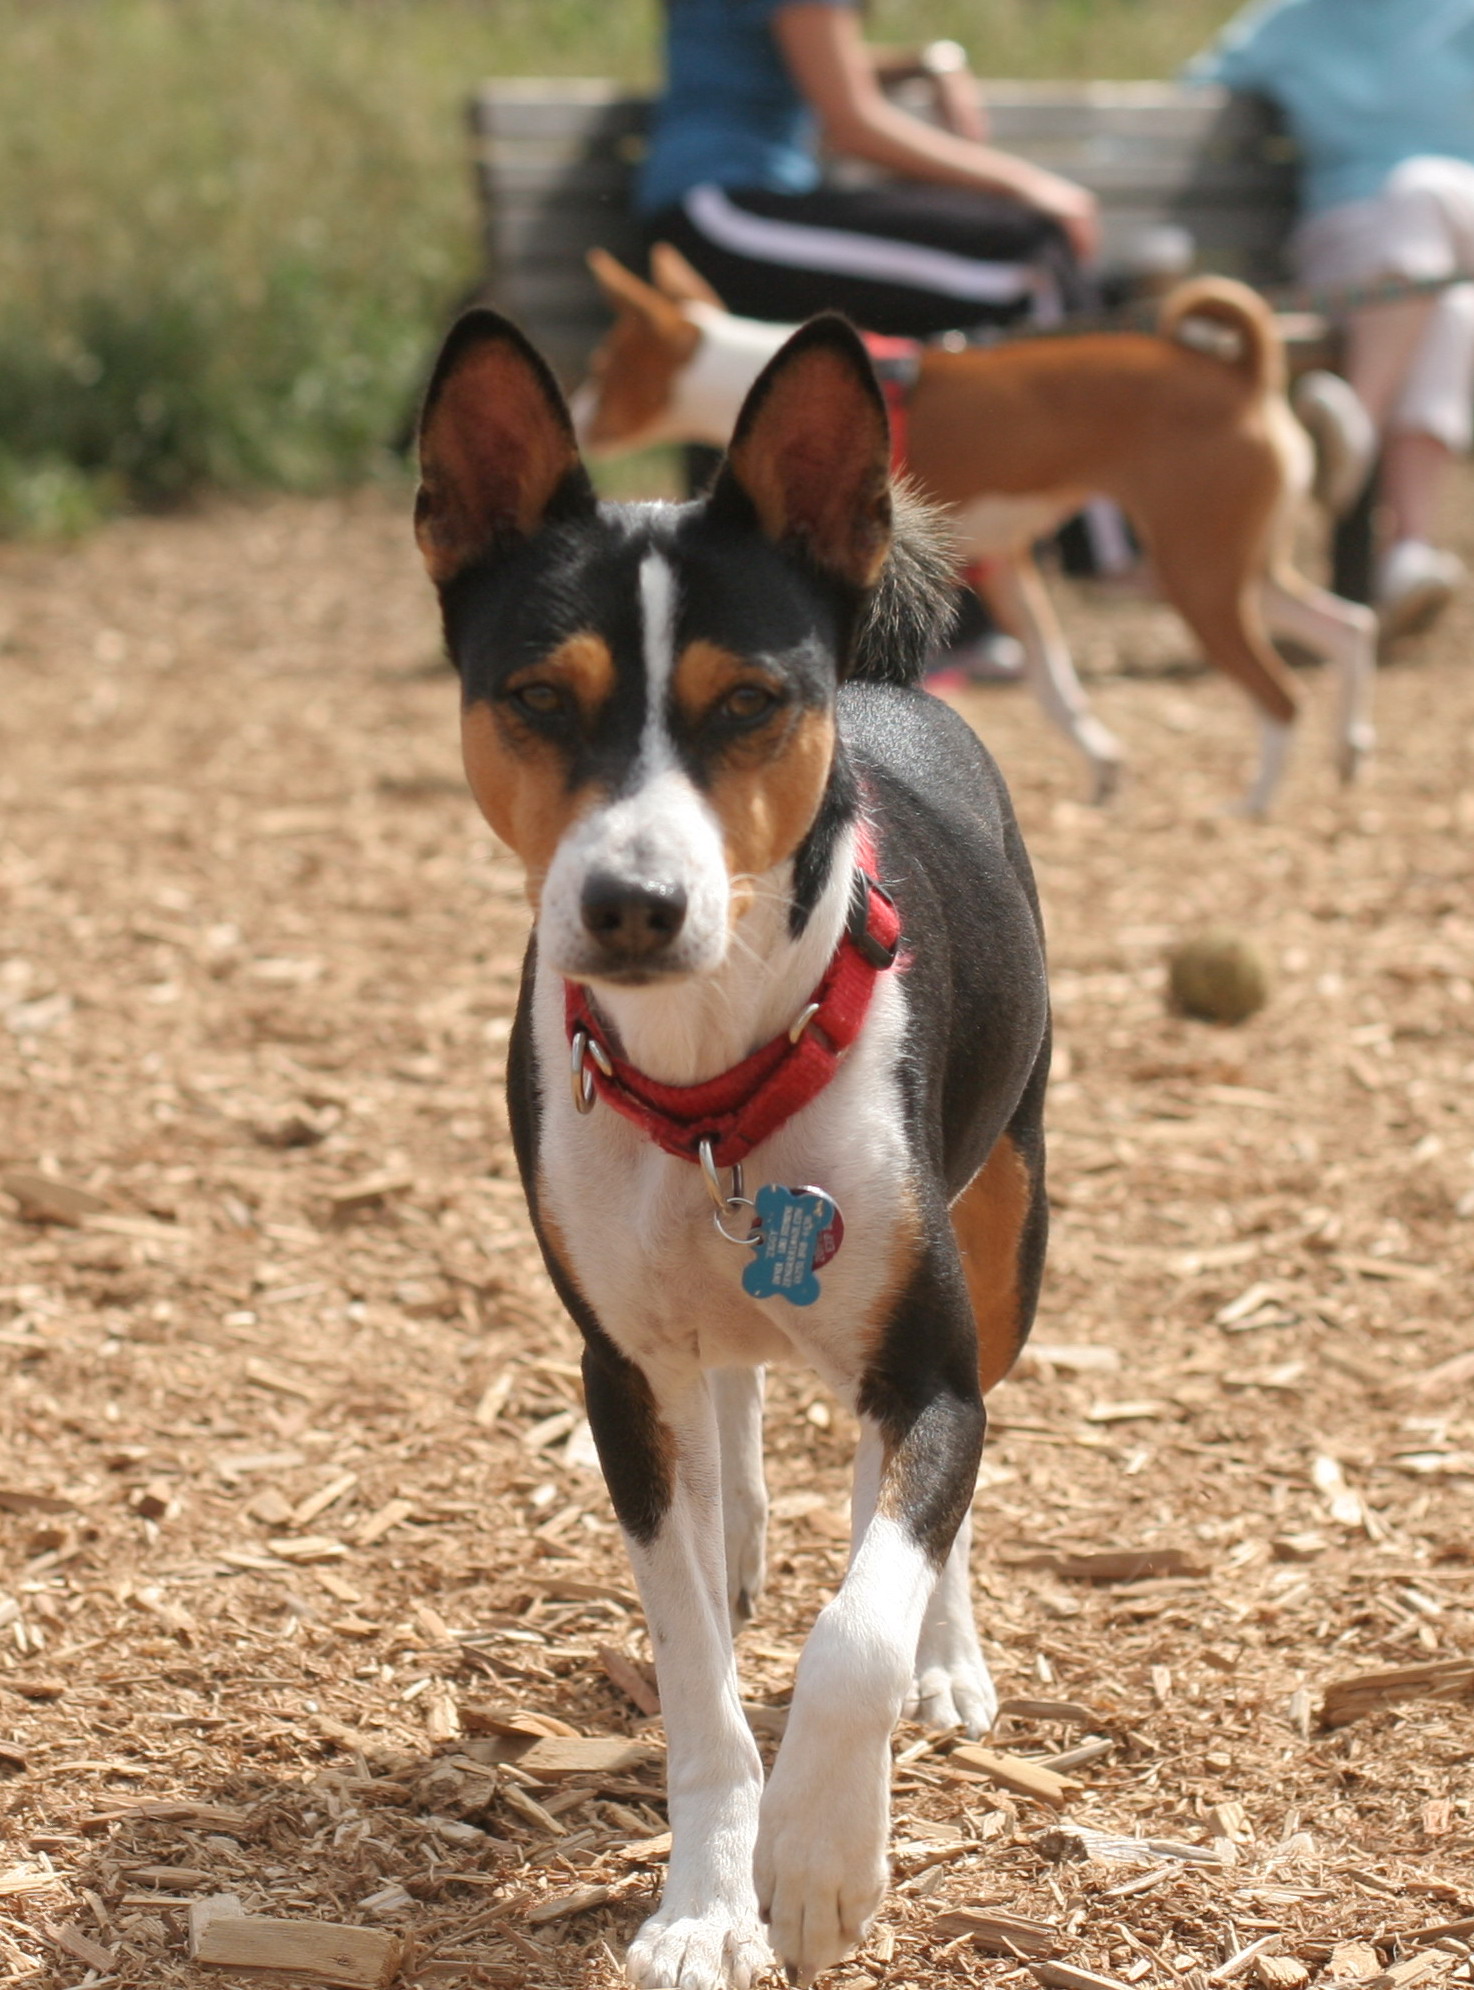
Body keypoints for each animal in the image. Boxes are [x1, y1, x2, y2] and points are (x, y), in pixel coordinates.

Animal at [415, 308, 1051, 1989]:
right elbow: (695, 1664)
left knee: (912, 1495)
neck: (709, 1084)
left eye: (748, 702)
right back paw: (754, 1514)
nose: (633, 902)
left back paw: (941, 1656)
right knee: (740, 1401)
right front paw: (707, 1896)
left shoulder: (930, 1361)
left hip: (1003, 1227)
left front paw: (824, 1860)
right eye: (538, 698)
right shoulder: (617, 1378)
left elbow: (860, 1619)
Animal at [573, 244, 1379, 816]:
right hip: (1238, 569)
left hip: (1198, 575)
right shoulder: (1006, 563)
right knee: (1349, 626)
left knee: (1281, 694)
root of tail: (1247, 376)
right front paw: (1102, 766)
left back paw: (1255, 804)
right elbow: (1056, 685)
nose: (572, 416)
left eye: (604, 367)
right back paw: (1351, 751)